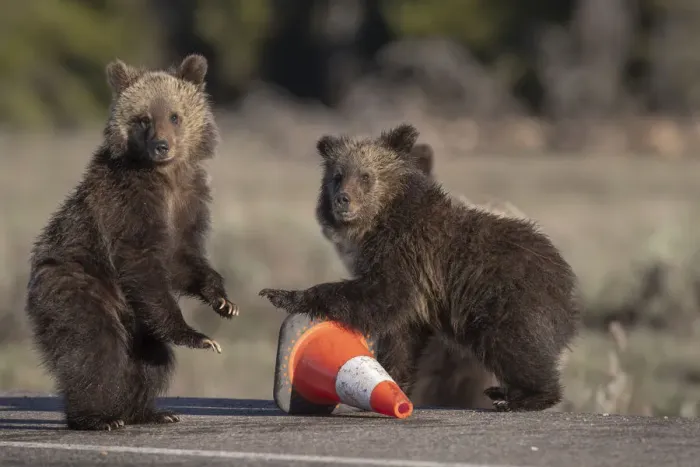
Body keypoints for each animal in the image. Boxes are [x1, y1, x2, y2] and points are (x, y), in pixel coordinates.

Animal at [24, 54, 238, 431]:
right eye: (143, 119)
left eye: (174, 115)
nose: (161, 145)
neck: (165, 177)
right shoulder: (127, 204)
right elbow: (141, 261)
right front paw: (197, 336)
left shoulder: (190, 200)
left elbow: (183, 257)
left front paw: (223, 301)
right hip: (78, 284)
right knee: (94, 348)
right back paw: (97, 417)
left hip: (136, 319)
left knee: (150, 358)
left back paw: (149, 412)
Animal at [260, 123, 581, 412]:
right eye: (337, 176)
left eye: (365, 175)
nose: (343, 200)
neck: (382, 220)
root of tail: (567, 284)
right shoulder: (417, 293)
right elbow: (402, 337)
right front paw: (393, 381)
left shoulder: (407, 255)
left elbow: (381, 296)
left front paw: (282, 295)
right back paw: (503, 390)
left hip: (509, 301)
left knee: (514, 347)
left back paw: (524, 398)